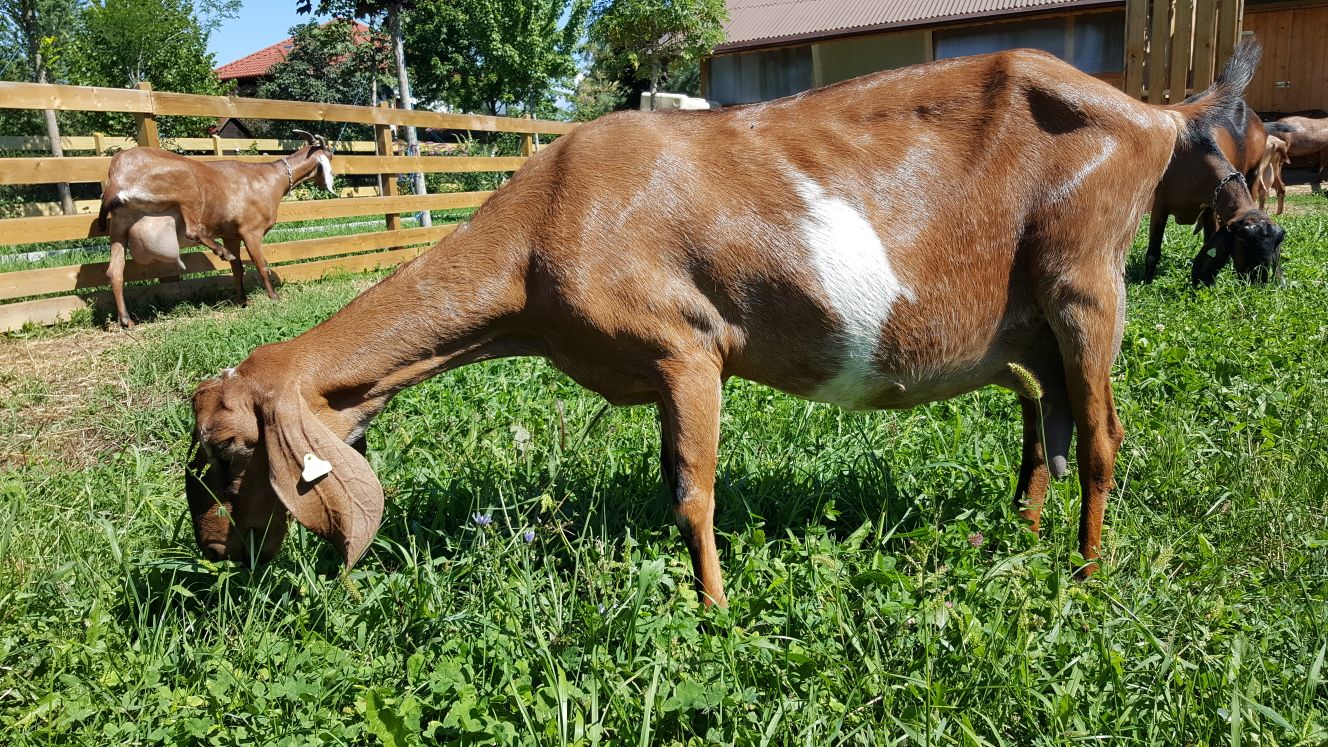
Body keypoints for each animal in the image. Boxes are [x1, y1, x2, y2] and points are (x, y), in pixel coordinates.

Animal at [97, 131, 335, 328]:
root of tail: (118, 175)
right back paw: (221, 252)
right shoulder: (251, 231)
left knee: (114, 271)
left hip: (120, 224)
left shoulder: (231, 235)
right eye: (330, 156)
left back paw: (126, 320)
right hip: (185, 188)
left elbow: (238, 268)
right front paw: (274, 297)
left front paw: (243, 300)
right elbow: (261, 265)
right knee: (192, 230)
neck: (270, 179)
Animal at [1142, 101, 1281, 283]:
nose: (1258, 282)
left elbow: (1208, 240)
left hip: (1255, 171)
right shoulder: (1160, 205)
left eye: (1277, 242)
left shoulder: (1212, 208)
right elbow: (1152, 253)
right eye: (1242, 239)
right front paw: (1146, 282)